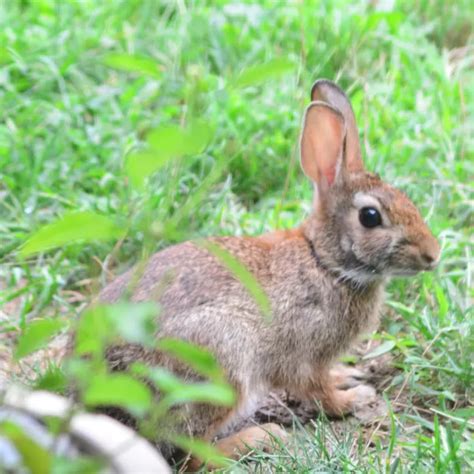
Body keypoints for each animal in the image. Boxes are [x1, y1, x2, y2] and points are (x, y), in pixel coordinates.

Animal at [76, 80, 438, 466]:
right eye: (370, 217)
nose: (433, 254)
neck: (325, 262)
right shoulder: (305, 354)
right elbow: (319, 392)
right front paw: (354, 399)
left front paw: (348, 376)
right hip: (220, 362)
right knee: (193, 453)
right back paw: (258, 438)